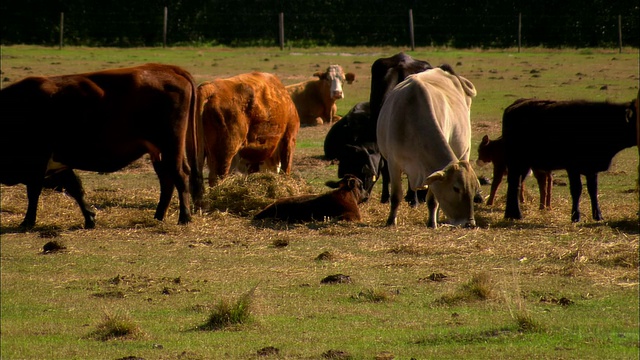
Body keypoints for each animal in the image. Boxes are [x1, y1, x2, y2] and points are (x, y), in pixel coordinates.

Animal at [0, 62, 198, 228]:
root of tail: (166, 68)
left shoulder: (37, 161)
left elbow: (34, 193)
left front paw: (27, 222)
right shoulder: (58, 163)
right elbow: (76, 188)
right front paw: (89, 218)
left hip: (170, 146)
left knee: (179, 175)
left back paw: (184, 217)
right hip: (158, 151)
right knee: (167, 179)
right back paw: (158, 216)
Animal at [376, 67, 480, 228]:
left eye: (474, 189)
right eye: (456, 188)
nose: (470, 223)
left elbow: (432, 200)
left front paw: (432, 222)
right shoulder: (393, 163)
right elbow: (396, 195)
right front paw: (391, 221)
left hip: (465, 151)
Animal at [502, 98, 636, 222]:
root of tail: (512, 107)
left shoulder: (592, 170)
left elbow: (593, 190)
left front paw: (598, 216)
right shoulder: (572, 168)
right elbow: (577, 189)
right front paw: (575, 216)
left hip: (523, 166)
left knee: (515, 184)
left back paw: (511, 215)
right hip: (517, 163)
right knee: (515, 184)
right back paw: (516, 215)